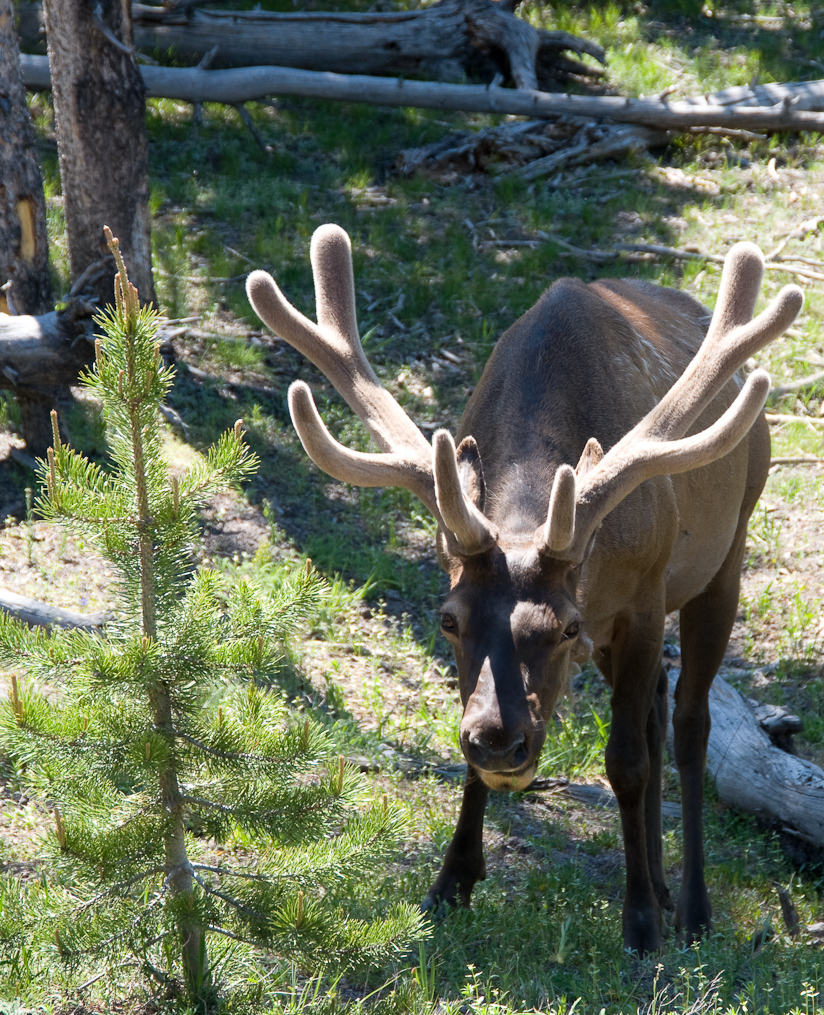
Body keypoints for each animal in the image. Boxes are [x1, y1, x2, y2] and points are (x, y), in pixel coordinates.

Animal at [244, 226, 799, 954]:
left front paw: (640, 924)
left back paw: (692, 907)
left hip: (727, 553)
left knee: (688, 724)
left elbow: (625, 760)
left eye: (564, 624)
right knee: (655, 706)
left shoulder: (643, 597)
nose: (500, 742)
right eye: (448, 619)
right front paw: (451, 881)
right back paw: (659, 880)